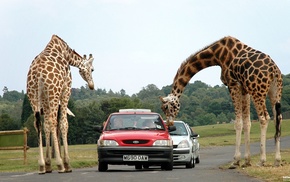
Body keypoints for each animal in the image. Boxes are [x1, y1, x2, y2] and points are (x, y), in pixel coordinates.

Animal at [25, 34, 94, 173]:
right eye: (92, 69)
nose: (92, 85)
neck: (66, 54)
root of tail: (37, 73)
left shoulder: (44, 98)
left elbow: (46, 125)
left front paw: (48, 164)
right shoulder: (66, 89)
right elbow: (63, 123)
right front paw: (67, 163)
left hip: (33, 95)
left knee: (38, 123)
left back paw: (42, 166)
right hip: (53, 93)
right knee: (53, 121)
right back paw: (61, 164)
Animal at [160, 36, 282, 169]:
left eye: (166, 107)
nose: (169, 124)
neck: (216, 55)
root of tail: (273, 70)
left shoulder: (233, 84)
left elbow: (238, 123)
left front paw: (236, 160)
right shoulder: (244, 88)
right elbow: (247, 122)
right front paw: (247, 161)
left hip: (257, 91)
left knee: (264, 118)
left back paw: (262, 160)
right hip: (274, 91)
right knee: (277, 118)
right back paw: (277, 160)